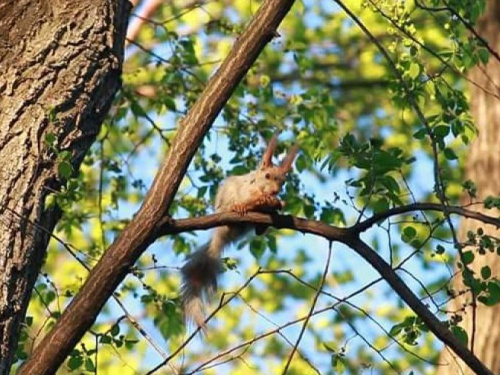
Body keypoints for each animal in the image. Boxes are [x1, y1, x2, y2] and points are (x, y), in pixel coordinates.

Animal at [180, 133, 296, 332]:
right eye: (267, 175)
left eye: (283, 182)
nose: (275, 191)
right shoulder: (246, 190)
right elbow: (251, 198)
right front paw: (263, 200)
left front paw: (278, 203)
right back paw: (238, 208)